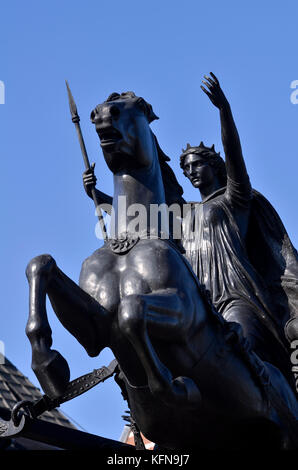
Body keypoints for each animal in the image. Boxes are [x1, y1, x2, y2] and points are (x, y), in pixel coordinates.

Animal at [26, 92, 298, 452]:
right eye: (105, 106)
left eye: (139, 105)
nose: (102, 113)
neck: (129, 244)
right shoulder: (95, 326)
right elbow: (41, 264)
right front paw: (50, 367)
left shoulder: (184, 312)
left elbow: (131, 311)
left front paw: (177, 386)